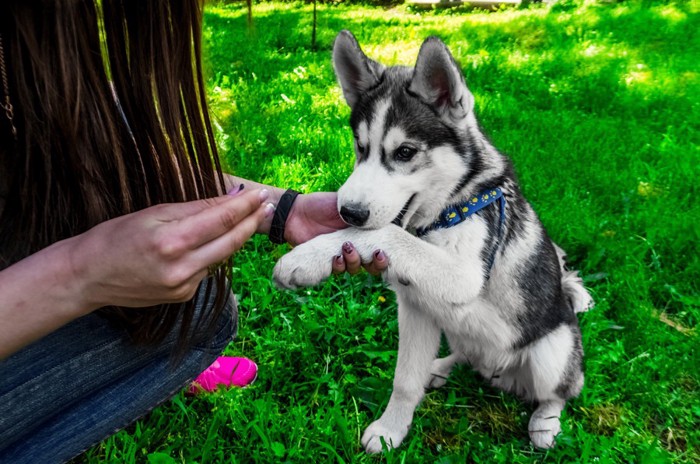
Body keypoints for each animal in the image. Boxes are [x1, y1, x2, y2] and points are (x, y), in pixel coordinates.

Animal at [272, 30, 592, 452]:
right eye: (360, 147)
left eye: (405, 152)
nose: (349, 213)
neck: (444, 213)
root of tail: (501, 373)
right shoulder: (416, 307)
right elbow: (405, 380)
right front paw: (391, 430)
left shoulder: (465, 274)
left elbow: (388, 231)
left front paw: (307, 258)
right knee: (467, 354)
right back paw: (440, 368)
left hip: (552, 353)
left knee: (561, 390)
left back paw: (545, 421)